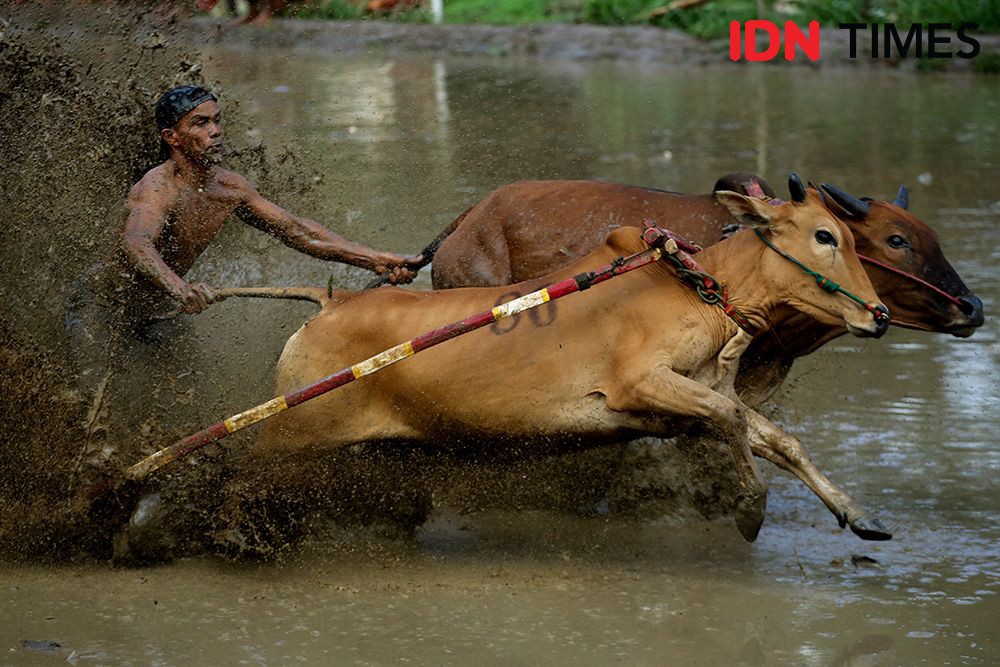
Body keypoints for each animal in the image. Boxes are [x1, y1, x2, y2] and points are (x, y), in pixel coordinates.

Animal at [246, 188, 888, 544]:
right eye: (826, 236)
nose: (879, 315)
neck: (698, 289)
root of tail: (330, 304)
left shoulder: (692, 396)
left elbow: (778, 439)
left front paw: (858, 513)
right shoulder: (639, 385)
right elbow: (731, 421)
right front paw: (751, 509)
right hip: (289, 436)